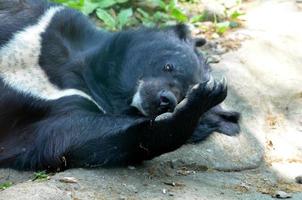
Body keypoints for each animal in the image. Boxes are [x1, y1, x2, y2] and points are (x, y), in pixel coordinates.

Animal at [0, 0, 241, 170]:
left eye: (184, 93)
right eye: (168, 66)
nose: (166, 100)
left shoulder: (54, 111)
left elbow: (74, 138)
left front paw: (205, 98)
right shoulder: (46, 19)